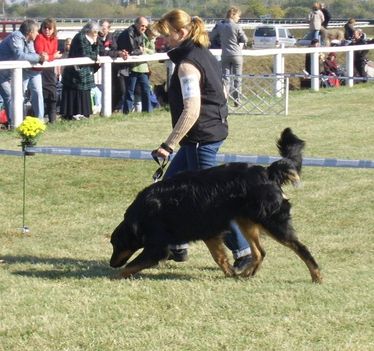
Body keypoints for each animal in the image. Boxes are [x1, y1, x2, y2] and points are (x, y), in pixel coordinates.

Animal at [110, 129, 322, 284]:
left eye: (116, 244)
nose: (112, 263)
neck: (142, 214)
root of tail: (268, 172)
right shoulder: (209, 232)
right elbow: (219, 257)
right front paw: (230, 274)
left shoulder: (158, 247)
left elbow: (130, 266)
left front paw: (113, 276)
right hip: (246, 221)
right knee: (259, 252)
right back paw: (247, 274)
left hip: (272, 221)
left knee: (301, 248)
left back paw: (316, 276)